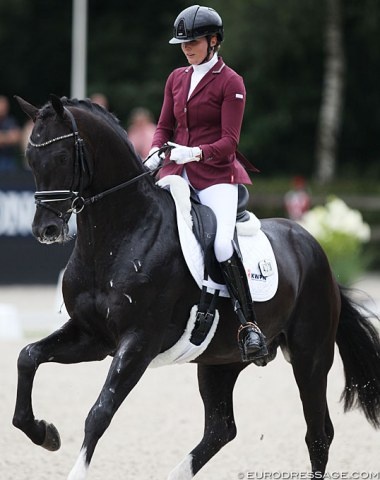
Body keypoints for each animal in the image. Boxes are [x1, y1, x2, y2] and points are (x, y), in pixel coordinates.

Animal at [11, 94, 380, 480]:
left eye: (62, 156)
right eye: (31, 159)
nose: (46, 230)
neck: (119, 235)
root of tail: (313, 247)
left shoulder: (138, 343)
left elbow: (99, 412)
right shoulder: (93, 337)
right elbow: (28, 356)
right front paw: (44, 433)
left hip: (311, 356)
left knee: (317, 435)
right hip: (221, 360)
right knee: (221, 428)